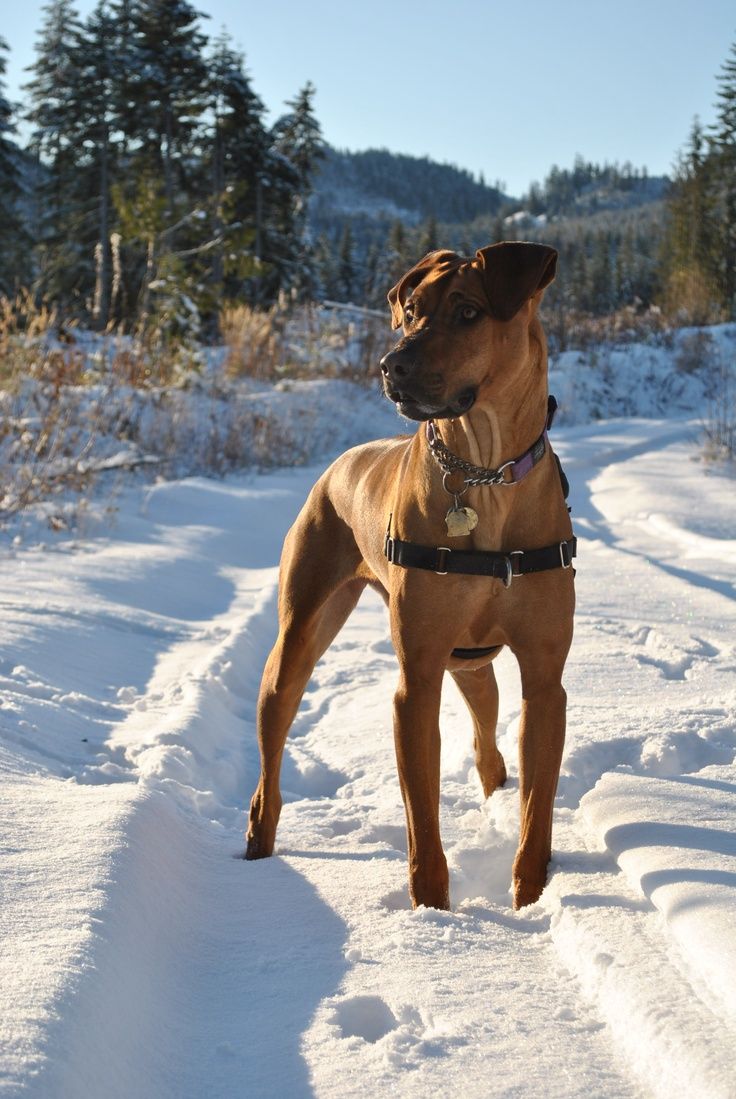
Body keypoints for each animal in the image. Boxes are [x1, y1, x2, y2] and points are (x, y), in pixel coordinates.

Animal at [246, 242, 575, 909]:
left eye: (469, 311)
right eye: (412, 311)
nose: (390, 365)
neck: (484, 472)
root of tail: (341, 460)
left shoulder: (544, 678)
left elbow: (537, 806)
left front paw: (530, 895)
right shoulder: (416, 678)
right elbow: (420, 811)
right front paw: (430, 908)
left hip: (470, 660)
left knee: (486, 730)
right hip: (298, 637)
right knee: (271, 755)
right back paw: (259, 860)